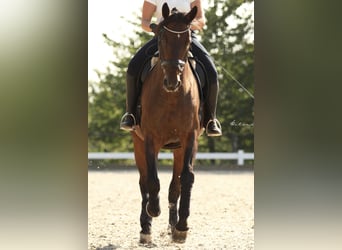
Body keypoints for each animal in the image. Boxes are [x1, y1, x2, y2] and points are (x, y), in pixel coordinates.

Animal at [130, 2, 200, 244]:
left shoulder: (190, 138)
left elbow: (186, 179)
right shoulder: (150, 139)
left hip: (179, 148)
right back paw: (146, 229)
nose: (172, 81)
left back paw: (172, 226)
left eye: (188, 40)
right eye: (161, 38)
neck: (171, 96)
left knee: (174, 186)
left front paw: (181, 228)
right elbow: (152, 180)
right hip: (138, 142)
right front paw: (153, 210)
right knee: (143, 182)